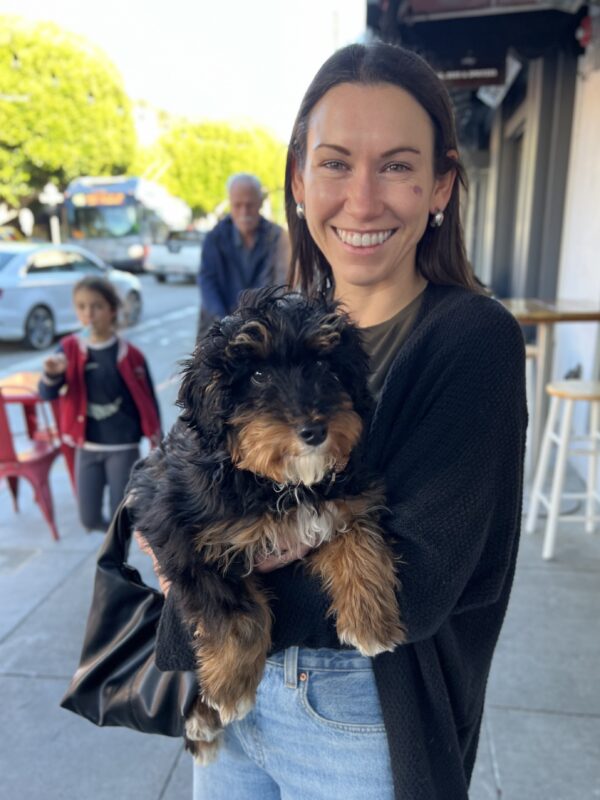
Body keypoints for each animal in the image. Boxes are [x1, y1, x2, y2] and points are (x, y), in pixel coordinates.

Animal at [128, 288, 406, 764]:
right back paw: (202, 715)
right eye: (257, 374)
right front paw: (230, 688)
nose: (313, 430)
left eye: (322, 366)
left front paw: (372, 619)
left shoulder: (345, 502)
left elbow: (358, 539)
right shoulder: (172, 527)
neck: (278, 486)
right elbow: (235, 610)